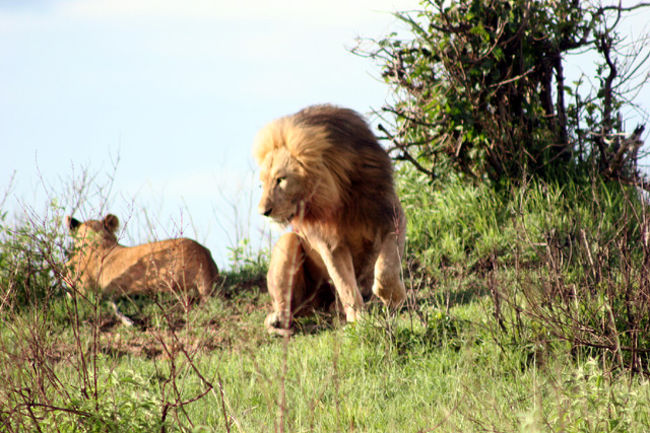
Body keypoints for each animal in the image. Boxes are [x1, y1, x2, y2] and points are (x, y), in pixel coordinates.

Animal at [253, 103, 404, 332]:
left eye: (281, 180)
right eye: (262, 184)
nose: (263, 211)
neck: (338, 199)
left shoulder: (392, 217)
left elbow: (387, 269)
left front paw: (395, 299)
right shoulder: (330, 244)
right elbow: (345, 285)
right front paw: (360, 321)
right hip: (290, 243)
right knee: (287, 309)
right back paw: (278, 321)